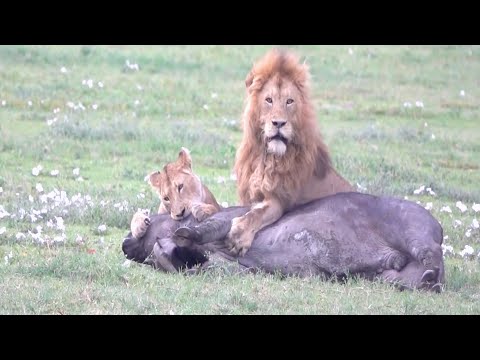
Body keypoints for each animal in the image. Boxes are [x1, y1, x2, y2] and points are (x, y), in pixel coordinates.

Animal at [227, 48, 354, 256]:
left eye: (289, 101)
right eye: (269, 100)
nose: (278, 123)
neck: (267, 158)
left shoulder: (281, 198)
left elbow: (258, 213)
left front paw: (239, 235)